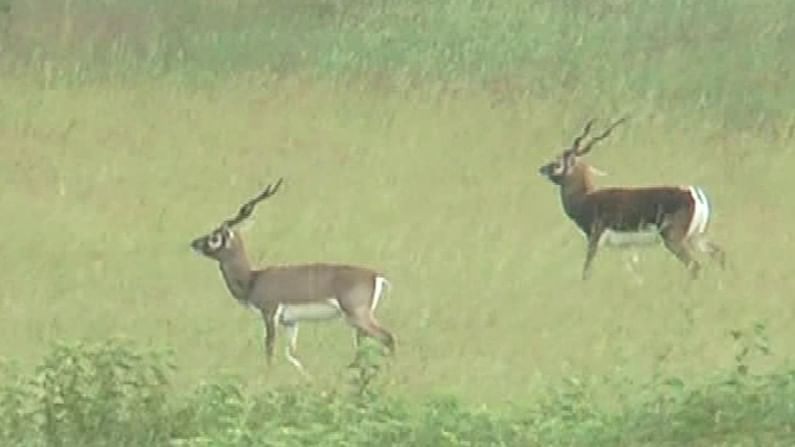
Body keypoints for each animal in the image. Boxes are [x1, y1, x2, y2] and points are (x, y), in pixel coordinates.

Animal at [190, 178, 394, 378]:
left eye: (215, 236)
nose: (194, 243)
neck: (252, 279)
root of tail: (375, 275)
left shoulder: (270, 313)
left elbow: (269, 349)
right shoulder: (291, 322)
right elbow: (291, 354)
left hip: (358, 315)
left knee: (387, 338)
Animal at [540, 118, 728, 280]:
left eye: (557, 163)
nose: (541, 169)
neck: (586, 198)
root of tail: (693, 192)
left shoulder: (594, 238)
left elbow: (587, 269)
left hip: (674, 239)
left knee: (694, 265)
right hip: (695, 237)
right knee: (719, 254)